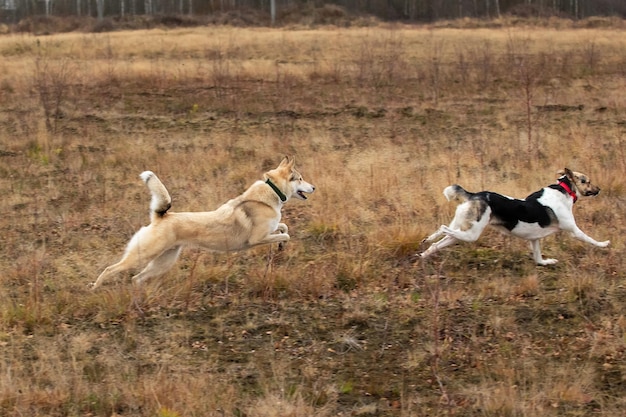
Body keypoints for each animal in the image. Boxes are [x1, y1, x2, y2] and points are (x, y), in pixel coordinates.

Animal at [90, 154, 314, 288]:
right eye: (301, 178)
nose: (314, 188)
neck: (271, 192)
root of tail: (160, 216)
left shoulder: (269, 230)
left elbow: (283, 226)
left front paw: (281, 245)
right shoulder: (257, 239)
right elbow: (286, 233)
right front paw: (282, 243)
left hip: (163, 262)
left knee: (136, 278)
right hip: (143, 256)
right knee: (111, 270)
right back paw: (95, 288)